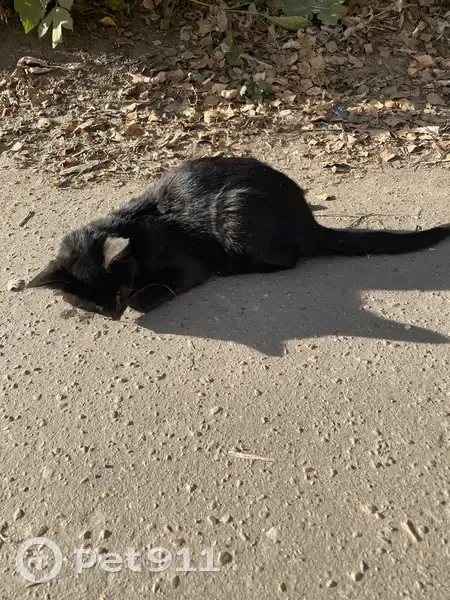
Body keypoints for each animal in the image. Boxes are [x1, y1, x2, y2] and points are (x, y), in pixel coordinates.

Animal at [28, 156, 450, 321]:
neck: (133, 228)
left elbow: (149, 296)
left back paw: (233, 268)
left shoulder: (186, 266)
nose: (114, 314)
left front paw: (137, 300)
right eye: (93, 305)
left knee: (288, 258)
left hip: (234, 209)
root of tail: (309, 221)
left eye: (116, 294)